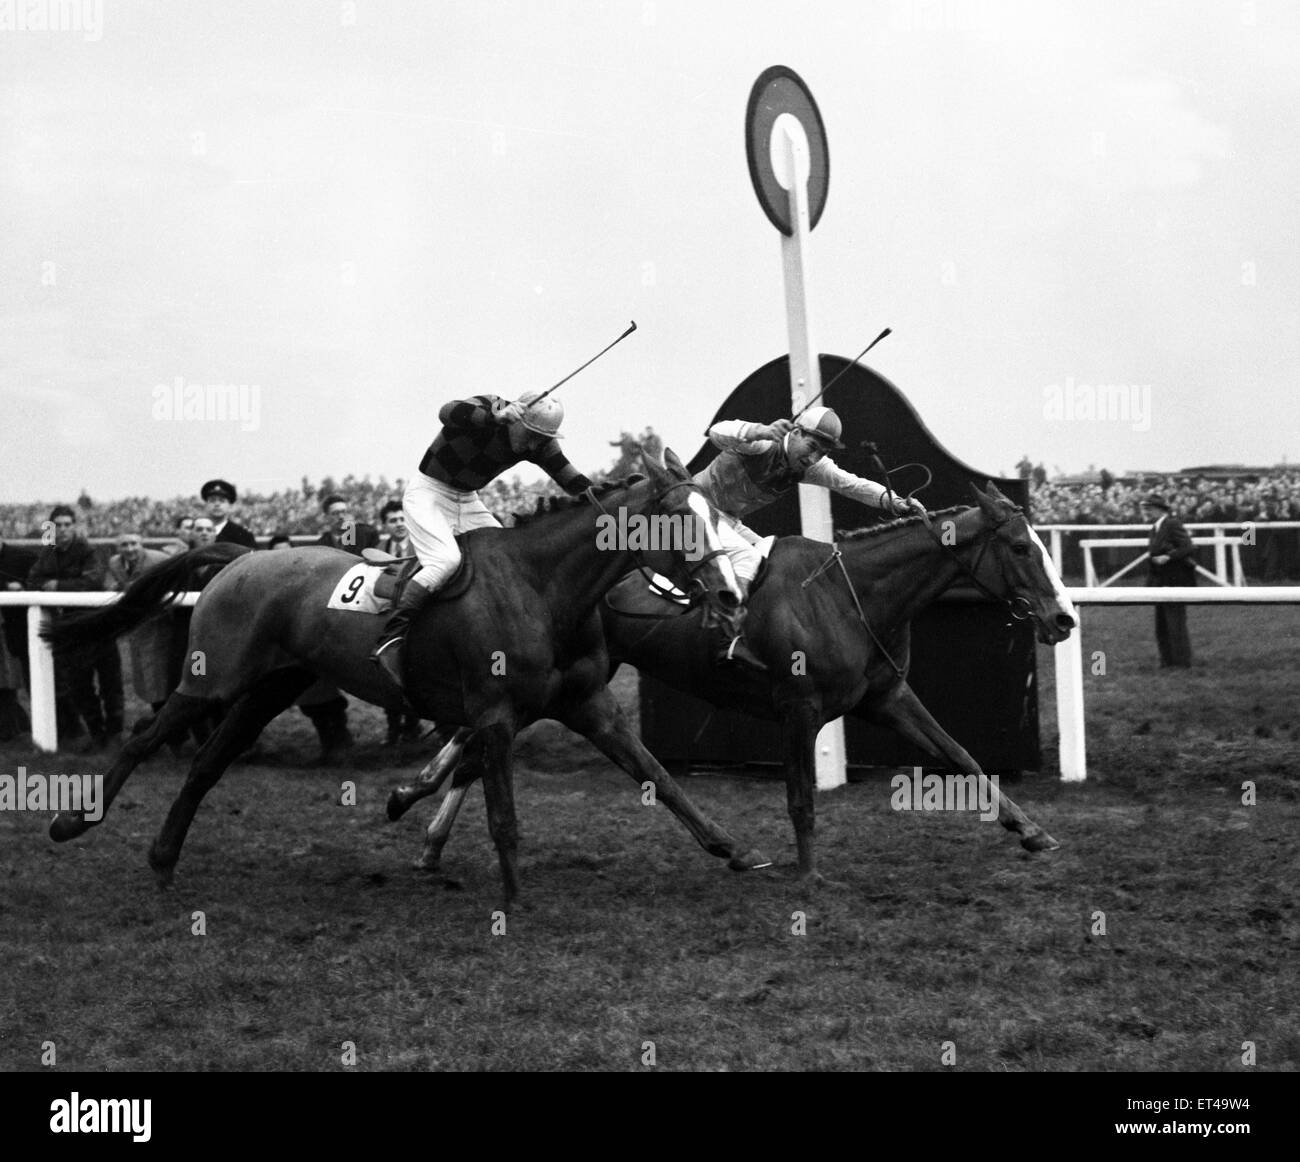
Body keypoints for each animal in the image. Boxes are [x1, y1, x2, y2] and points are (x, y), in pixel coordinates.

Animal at [43, 449, 769, 904]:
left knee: (207, 765)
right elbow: (502, 811)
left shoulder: (589, 705)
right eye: (682, 519)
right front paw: (512, 894)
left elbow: (661, 777)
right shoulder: (496, 714)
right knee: (145, 738)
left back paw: (164, 860)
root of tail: (235, 556)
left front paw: (733, 849)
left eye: (720, 515)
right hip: (212, 679)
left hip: (268, 688)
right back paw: (72, 823)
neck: (542, 588)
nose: (731, 596)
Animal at [392, 486, 1076, 889]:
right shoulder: (799, 708)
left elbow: (963, 756)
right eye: (1021, 547)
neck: (849, 595)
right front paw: (808, 875)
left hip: (564, 687)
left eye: (1041, 544)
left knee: (473, 751)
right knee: (474, 746)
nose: (1065, 618)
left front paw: (1032, 831)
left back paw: (422, 826)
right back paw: (413, 800)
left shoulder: (887, 697)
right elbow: (800, 796)